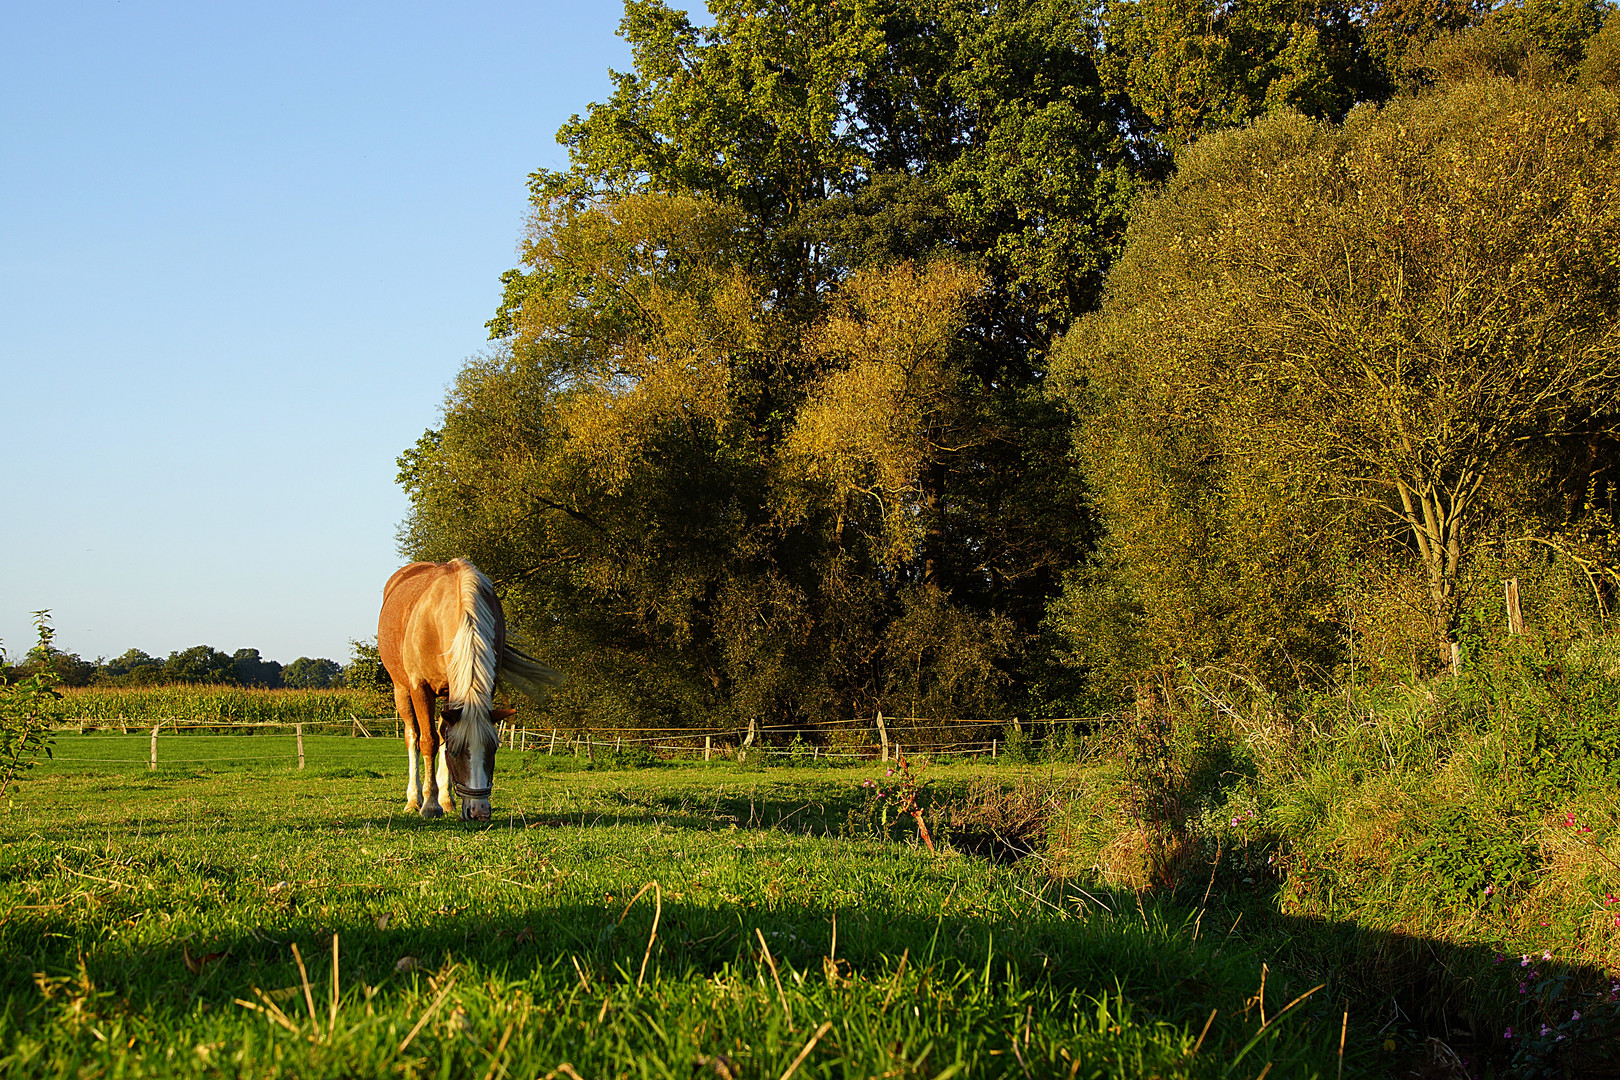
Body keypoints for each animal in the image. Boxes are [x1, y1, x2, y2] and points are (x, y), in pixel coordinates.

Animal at [379, 563, 563, 822]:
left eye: (493, 749)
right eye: (457, 753)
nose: (479, 812)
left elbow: (444, 737)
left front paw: (445, 800)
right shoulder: (420, 687)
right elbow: (429, 741)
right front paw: (430, 804)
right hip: (401, 690)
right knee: (412, 737)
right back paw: (414, 799)